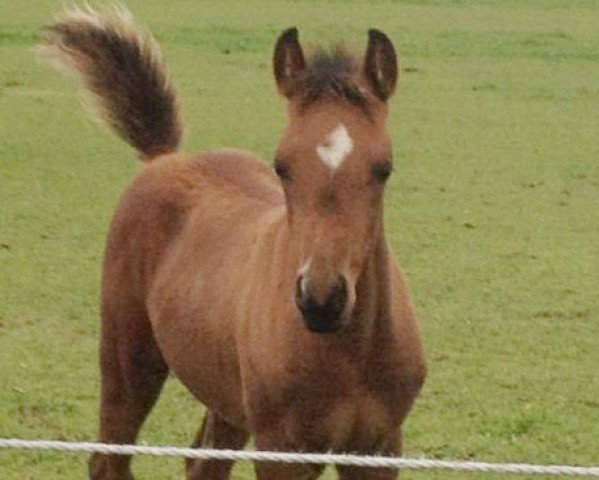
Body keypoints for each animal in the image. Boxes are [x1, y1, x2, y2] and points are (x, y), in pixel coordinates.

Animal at [41, 7, 426, 480]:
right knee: (109, 458)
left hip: (224, 397)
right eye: (282, 166)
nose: (322, 300)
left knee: (201, 462)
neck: (351, 357)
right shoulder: (283, 452)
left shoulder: (378, 449)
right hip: (128, 362)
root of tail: (166, 157)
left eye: (384, 168)